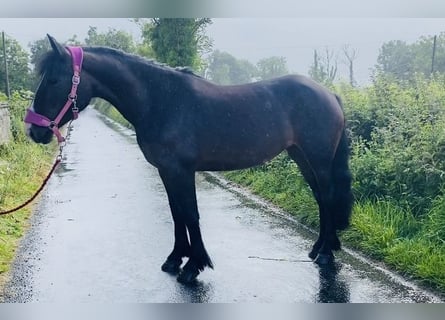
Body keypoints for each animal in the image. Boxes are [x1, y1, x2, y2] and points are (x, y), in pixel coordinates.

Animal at [25, 35, 354, 284]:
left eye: (54, 80)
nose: (34, 130)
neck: (161, 100)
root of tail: (330, 94)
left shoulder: (181, 171)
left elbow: (191, 214)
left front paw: (194, 266)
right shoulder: (167, 172)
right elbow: (177, 213)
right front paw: (175, 259)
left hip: (318, 159)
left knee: (327, 196)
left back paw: (326, 254)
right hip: (301, 156)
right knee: (321, 198)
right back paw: (319, 248)